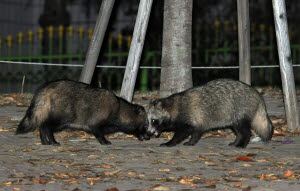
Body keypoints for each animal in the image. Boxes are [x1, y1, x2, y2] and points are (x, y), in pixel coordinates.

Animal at [15, 80, 149, 145]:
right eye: (145, 125)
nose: (149, 136)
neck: (120, 109)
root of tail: (45, 90)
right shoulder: (97, 119)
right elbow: (97, 130)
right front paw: (103, 140)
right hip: (62, 113)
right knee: (47, 125)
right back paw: (51, 139)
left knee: (43, 123)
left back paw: (44, 140)